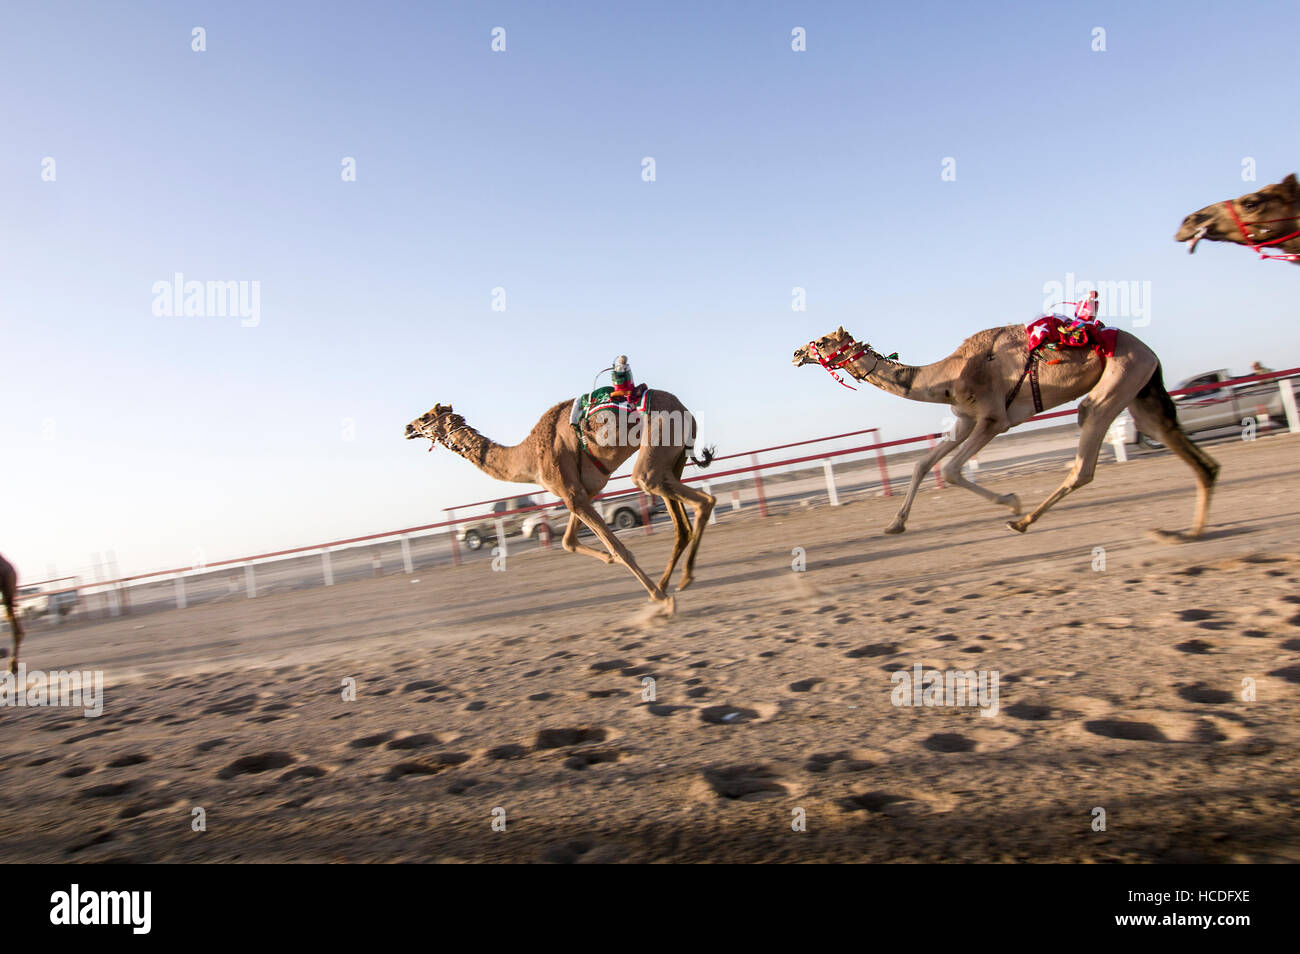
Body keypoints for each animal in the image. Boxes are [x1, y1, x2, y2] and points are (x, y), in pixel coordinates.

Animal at [403, 389, 717, 608]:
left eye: (425, 417)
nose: (407, 428)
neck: (528, 457)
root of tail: (684, 409)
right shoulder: (581, 494)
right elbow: (569, 541)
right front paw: (609, 560)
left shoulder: (572, 495)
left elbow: (618, 548)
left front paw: (656, 599)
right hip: (672, 463)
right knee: (681, 525)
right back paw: (671, 582)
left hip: (657, 449)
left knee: (699, 500)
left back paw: (676, 583)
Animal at [790, 324, 1216, 538]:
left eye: (822, 341)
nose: (796, 353)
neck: (948, 374)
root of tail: (1148, 349)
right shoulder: (964, 419)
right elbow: (922, 466)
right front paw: (895, 523)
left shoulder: (993, 419)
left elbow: (950, 470)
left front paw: (1011, 501)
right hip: (1142, 390)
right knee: (1178, 442)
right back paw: (1192, 530)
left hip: (1120, 378)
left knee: (1084, 459)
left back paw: (1022, 521)